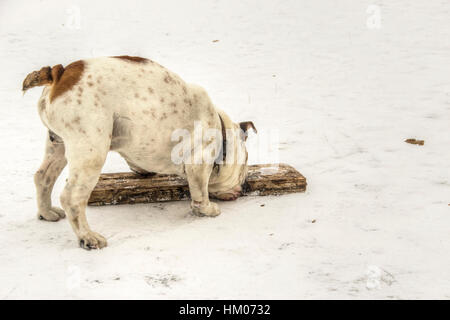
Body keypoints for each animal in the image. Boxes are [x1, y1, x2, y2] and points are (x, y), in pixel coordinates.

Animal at [22, 55, 256, 250]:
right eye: (246, 162)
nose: (244, 184)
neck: (220, 128)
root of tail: (59, 73)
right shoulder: (199, 162)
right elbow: (200, 192)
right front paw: (207, 210)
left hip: (58, 144)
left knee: (43, 177)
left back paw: (47, 213)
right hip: (91, 150)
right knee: (72, 197)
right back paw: (88, 237)